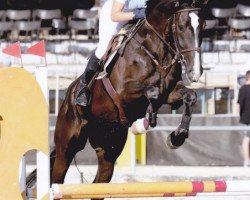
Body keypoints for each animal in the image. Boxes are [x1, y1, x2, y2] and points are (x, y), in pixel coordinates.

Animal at [51, 0, 209, 197]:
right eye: (181, 27)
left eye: (203, 26)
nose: (196, 73)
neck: (156, 51)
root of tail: (67, 97)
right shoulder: (123, 93)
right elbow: (152, 92)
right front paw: (148, 120)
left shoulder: (171, 93)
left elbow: (190, 96)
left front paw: (176, 137)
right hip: (67, 146)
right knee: (57, 177)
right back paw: (82, 96)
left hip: (109, 147)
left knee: (99, 183)